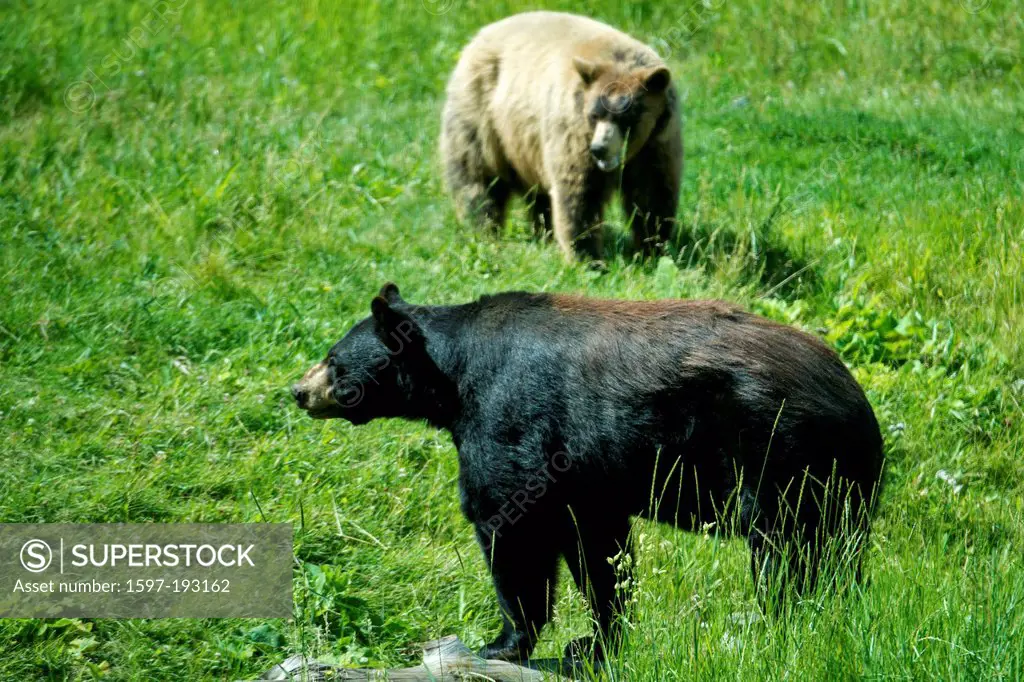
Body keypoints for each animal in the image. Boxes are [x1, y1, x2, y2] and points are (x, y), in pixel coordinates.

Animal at [292, 280, 884, 659]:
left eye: (334, 359)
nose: (298, 391)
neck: (455, 376)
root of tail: (856, 401)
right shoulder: (587, 475)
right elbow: (599, 549)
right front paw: (595, 642)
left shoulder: (510, 420)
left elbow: (512, 526)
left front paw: (503, 642)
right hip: (840, 482)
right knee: (836, 554)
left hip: (779, 455)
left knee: (786, 551)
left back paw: (780, 625)